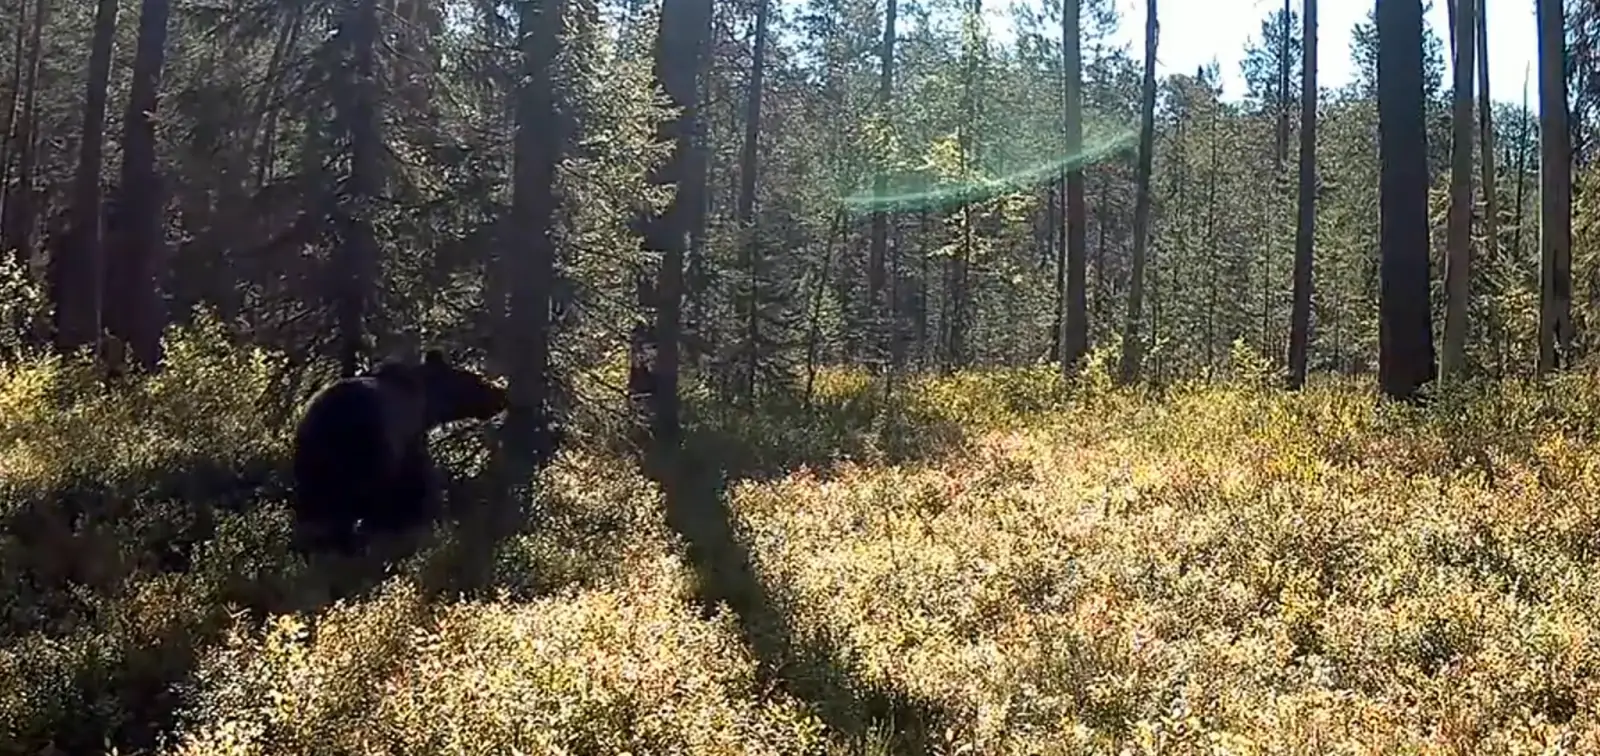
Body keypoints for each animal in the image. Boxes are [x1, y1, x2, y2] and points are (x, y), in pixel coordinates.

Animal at [290, 349, 509, 554]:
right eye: (478, 380)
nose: (501, 394)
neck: (426, 404)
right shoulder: (405, 439)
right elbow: (414, 484)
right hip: (363, 445)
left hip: (310, 458)